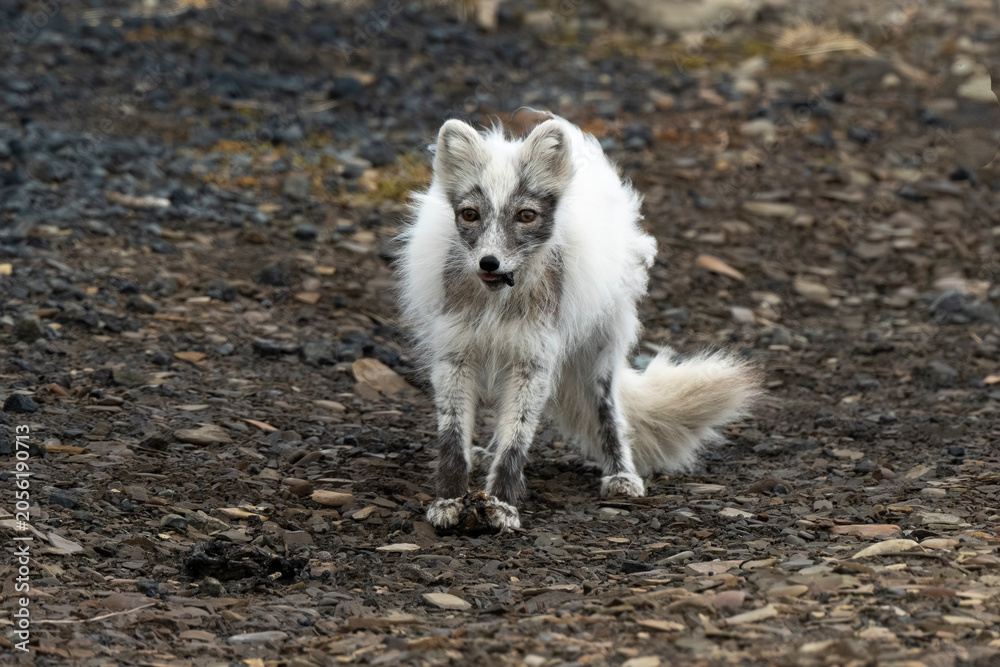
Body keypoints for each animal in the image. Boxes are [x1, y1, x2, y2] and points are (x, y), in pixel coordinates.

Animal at [396, 114, 761, 532]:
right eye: (470, 214)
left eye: (526, 215)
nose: (489, 263)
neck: (498, 303)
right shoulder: (455, 356)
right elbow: (454, 437)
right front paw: (450, 500)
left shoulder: (535, 360)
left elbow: (517, 438)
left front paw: (502, 505)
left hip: (599, 353)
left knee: (608, 411)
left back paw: (621, 474)